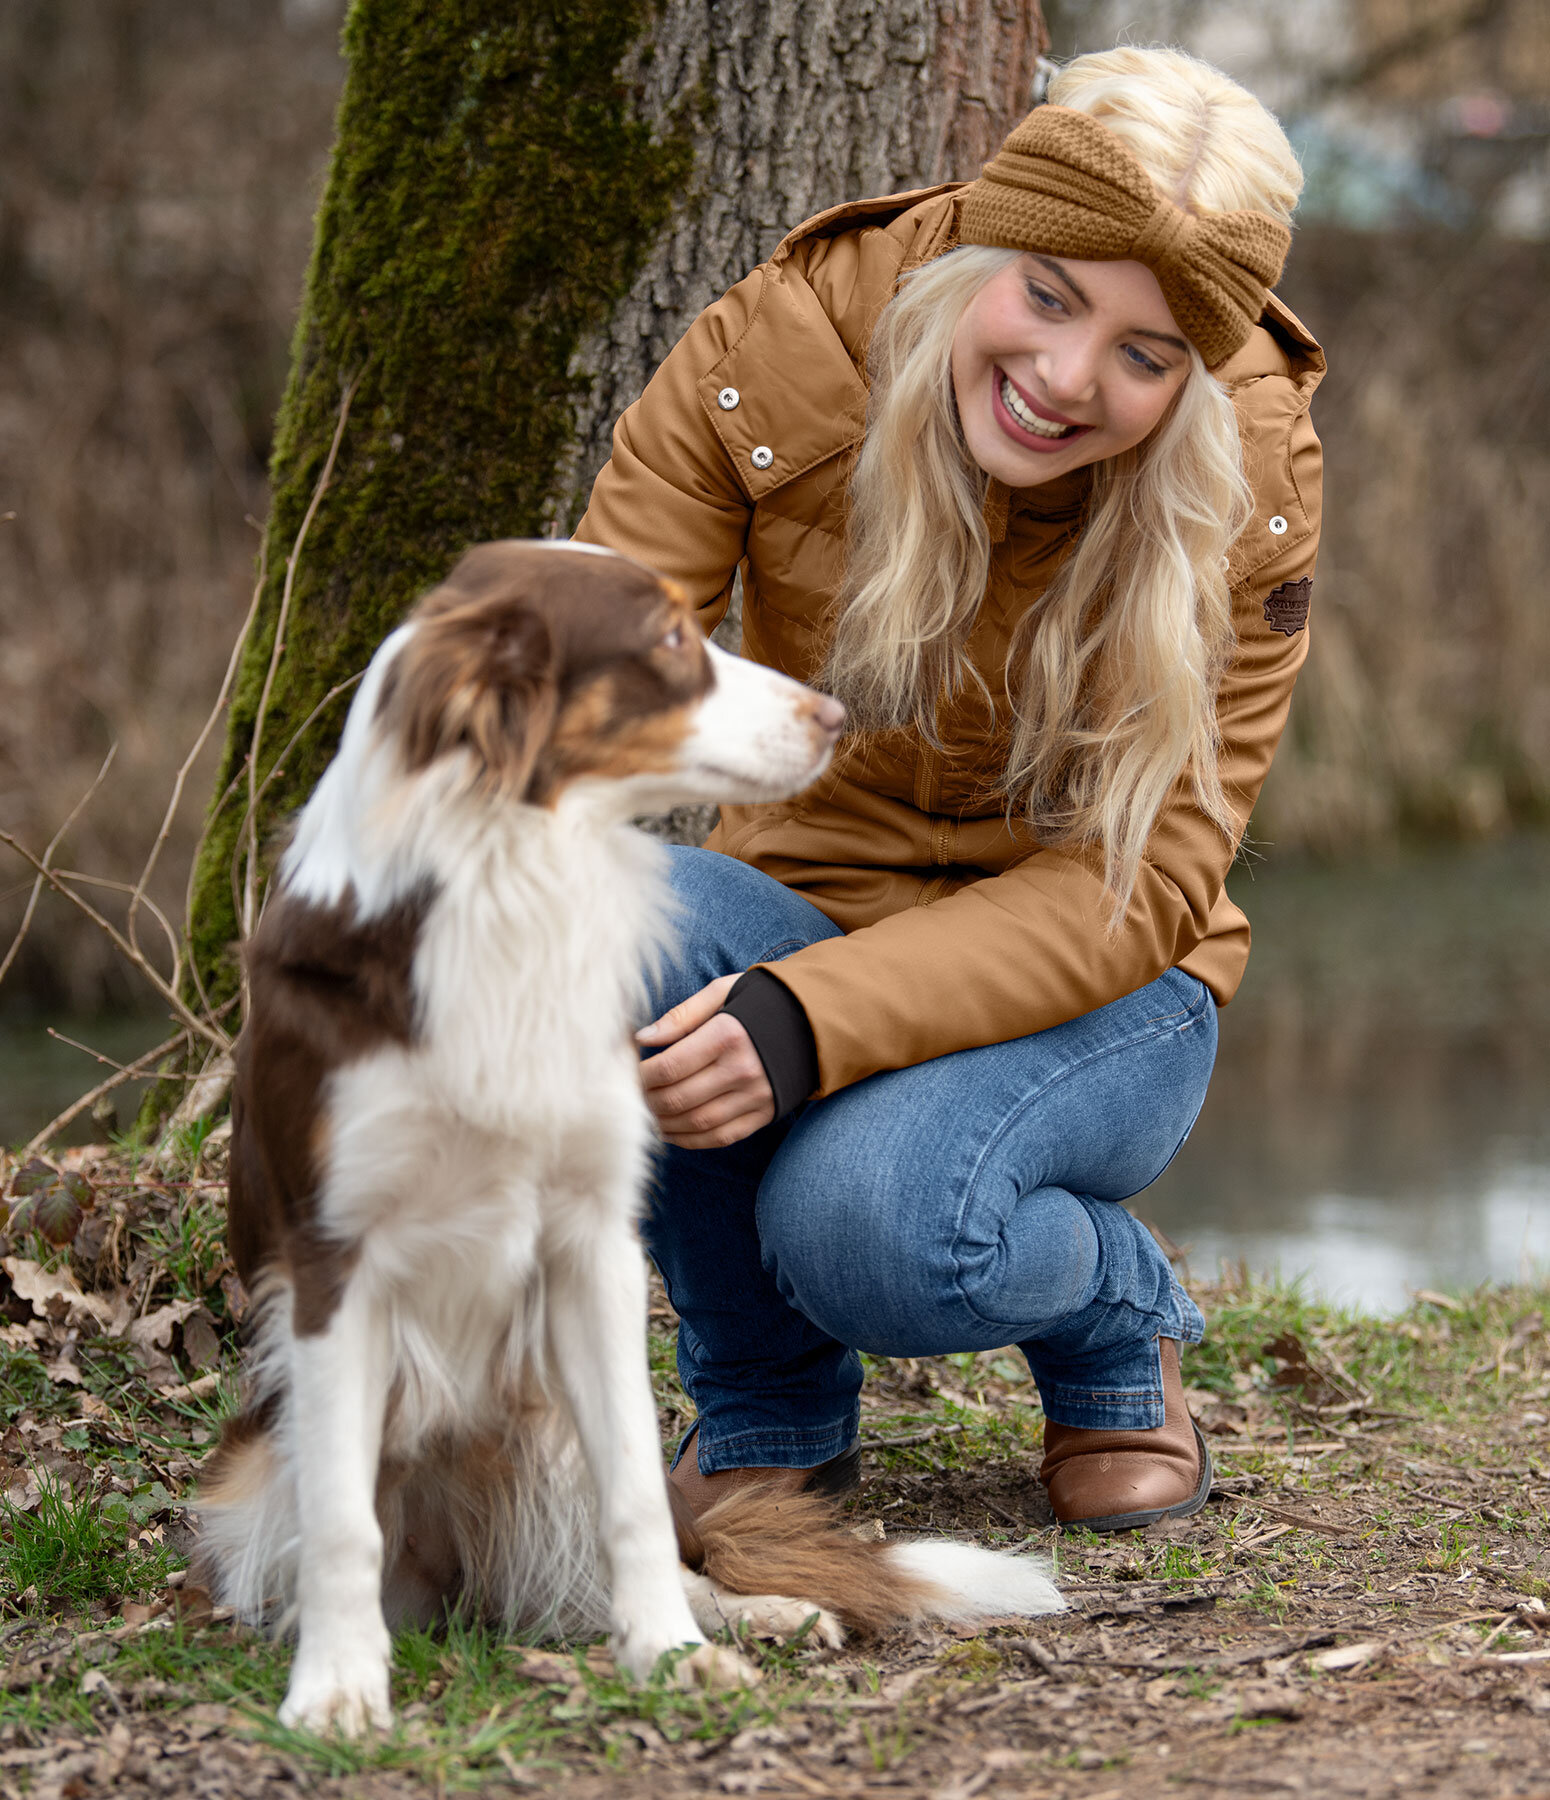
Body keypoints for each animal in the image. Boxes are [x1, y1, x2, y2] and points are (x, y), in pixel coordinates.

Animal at [196, 532, 1065, 1728]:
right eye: (664, 641)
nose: (836, 715)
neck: (516, 878)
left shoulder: (591, 1243)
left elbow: (635, 1505)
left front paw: (670, 1652)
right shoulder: (333, 1263)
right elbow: (340, 1521)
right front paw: (335, 1691)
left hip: (545, 1428)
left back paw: (756, 1613)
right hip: (258, 1468)